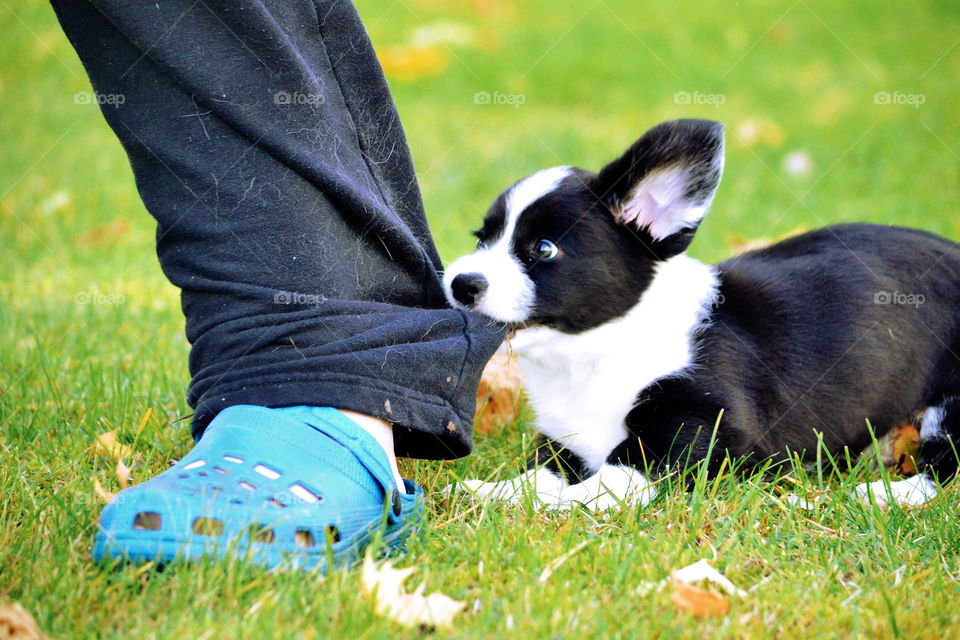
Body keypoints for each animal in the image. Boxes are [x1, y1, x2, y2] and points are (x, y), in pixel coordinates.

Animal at [442, 119, 960, 510]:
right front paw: (495, 491)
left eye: (543, 249)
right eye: (482, 239)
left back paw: (864, 497)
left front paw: (555, 502)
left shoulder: (700, 430)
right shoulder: (565, 440)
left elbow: (610, 479)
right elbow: (540, 474)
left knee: (944, 469)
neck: (593, 351)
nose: (459, 283)